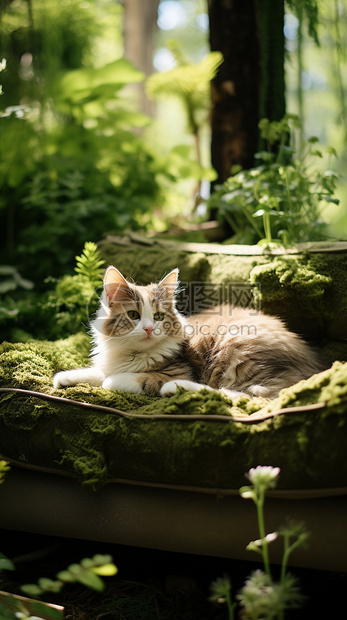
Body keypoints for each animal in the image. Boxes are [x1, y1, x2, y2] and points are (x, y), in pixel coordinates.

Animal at [53, 266, 324, 400]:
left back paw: (174, 389)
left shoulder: (177, 368)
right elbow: (98, 372)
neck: (132, 354)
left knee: (254, 395)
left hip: (238, 352)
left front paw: (113, 381)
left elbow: (120, 379)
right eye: (133, 315)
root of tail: (312, 367)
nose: (149, 328)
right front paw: (65, 377)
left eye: (159, 316)